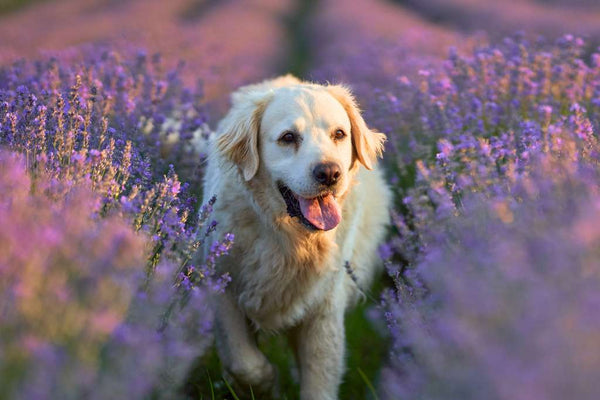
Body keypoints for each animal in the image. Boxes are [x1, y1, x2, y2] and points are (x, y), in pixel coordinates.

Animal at [202, 75, 390, 400]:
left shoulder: (324, 310)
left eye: (339, 134)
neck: (289, 240)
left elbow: (318, 383)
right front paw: (266, 383)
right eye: (288, 138)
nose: (329, 173)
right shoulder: (222, 283)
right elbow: (245, 362)